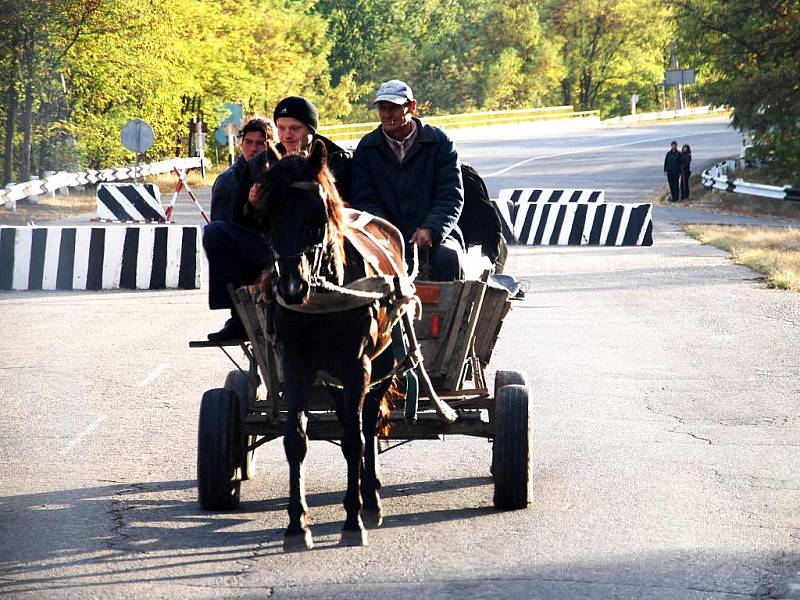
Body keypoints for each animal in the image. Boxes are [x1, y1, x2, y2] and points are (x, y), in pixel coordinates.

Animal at [255, 139, 410, 548]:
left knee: (366, 426)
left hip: (379, 366)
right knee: (348, 423)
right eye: (267, 215)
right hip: (334, 380)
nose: (292, 287)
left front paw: (353, 521)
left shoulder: (359, 366)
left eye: (318, 213)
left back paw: (369, 500)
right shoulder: (296, 364)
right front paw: (297, 525)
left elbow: (356, 440)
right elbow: (295, 439)